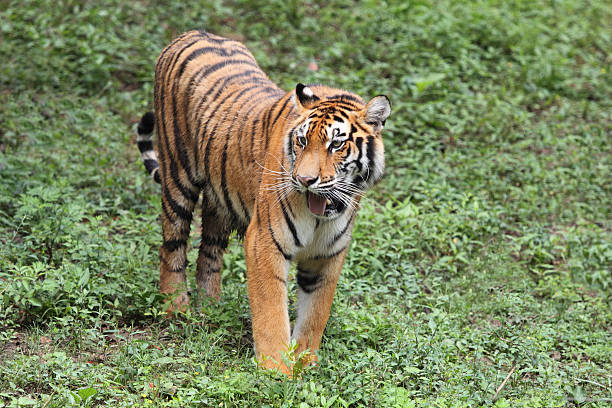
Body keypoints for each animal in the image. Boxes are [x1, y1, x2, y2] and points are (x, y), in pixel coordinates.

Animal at [136, 30, 390, 374]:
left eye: (336, 145)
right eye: (302, 141)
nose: (305, 180)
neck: (324, 214)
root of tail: (191, 33)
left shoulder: (328, 255)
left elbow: (315, 315)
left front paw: (305, 363)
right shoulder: (265, 240)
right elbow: (271, 310)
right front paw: (276, 371)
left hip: (220, 199)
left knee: (208, 254)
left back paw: (210, 309)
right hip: (178, 177)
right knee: (172, 246)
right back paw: (176, 308)